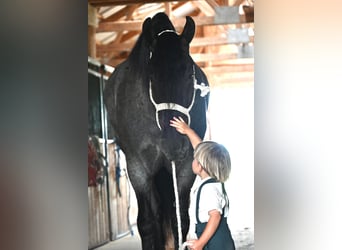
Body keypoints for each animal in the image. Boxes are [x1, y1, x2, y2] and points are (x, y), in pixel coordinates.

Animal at [104, 12, 210, 249]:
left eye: (190, 76)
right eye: (151, 76)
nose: (173, 143)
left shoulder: (184, 166)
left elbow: (181, 220)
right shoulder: (138, 168)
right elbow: (146, 222)